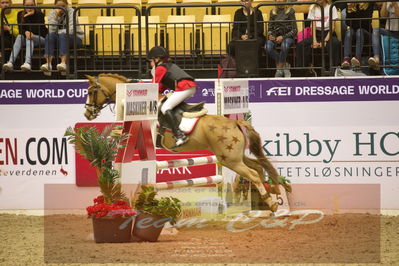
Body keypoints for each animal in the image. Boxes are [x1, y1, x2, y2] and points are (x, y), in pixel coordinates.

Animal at [84, 73, 284, 212]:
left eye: (91, 92)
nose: (87, 114)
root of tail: (235, 122)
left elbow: (119, 133)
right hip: (233, 156)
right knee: (257, 166)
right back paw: (271, 195)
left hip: (230, 160)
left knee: (253, 173)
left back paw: (271, 203)